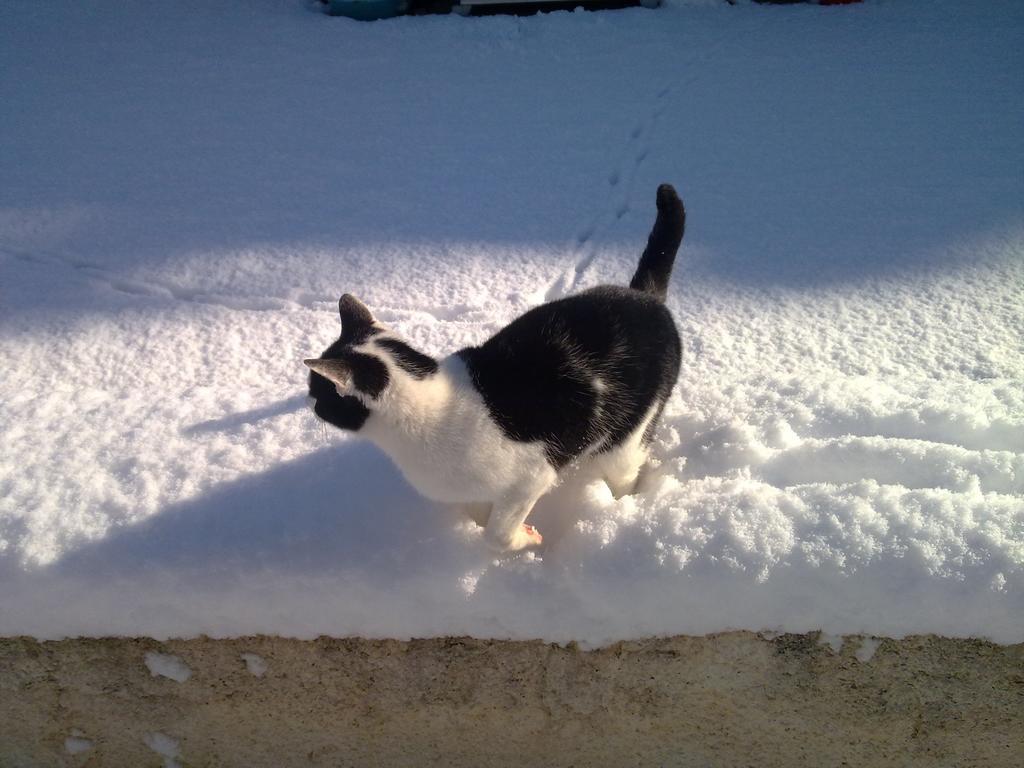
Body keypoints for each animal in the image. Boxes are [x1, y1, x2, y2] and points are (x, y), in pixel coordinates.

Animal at [307, 182, 684, 548]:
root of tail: (644, 296)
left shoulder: (533, 476)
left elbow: (497, 535)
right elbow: (479, 515)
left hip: (625, 440)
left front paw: (524, 541)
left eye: (318, 392)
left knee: (625, 470)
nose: (310, 402)